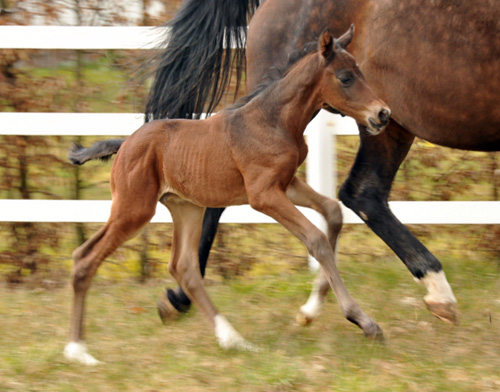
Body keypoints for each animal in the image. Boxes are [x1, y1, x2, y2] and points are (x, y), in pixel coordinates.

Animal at [63, 29, 390, 366]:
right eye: (345, 77)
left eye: (360, 72)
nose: (382, 114)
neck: (273, 120)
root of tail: (125, 143)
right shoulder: (263, 194)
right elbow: (316, 239)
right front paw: (363, 322)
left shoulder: (287, 184)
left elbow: (333, 212)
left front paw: (310, 311)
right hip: (134, 209)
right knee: (85, 257)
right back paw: (78, 351)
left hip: (187, 208)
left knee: (184, 267)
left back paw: (233, 340)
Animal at [150, 0, 500, 324]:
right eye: (344, 77)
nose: (382, 112)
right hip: (370, 122)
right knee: (358, 193)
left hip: (387, 125)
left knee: (359, 195)